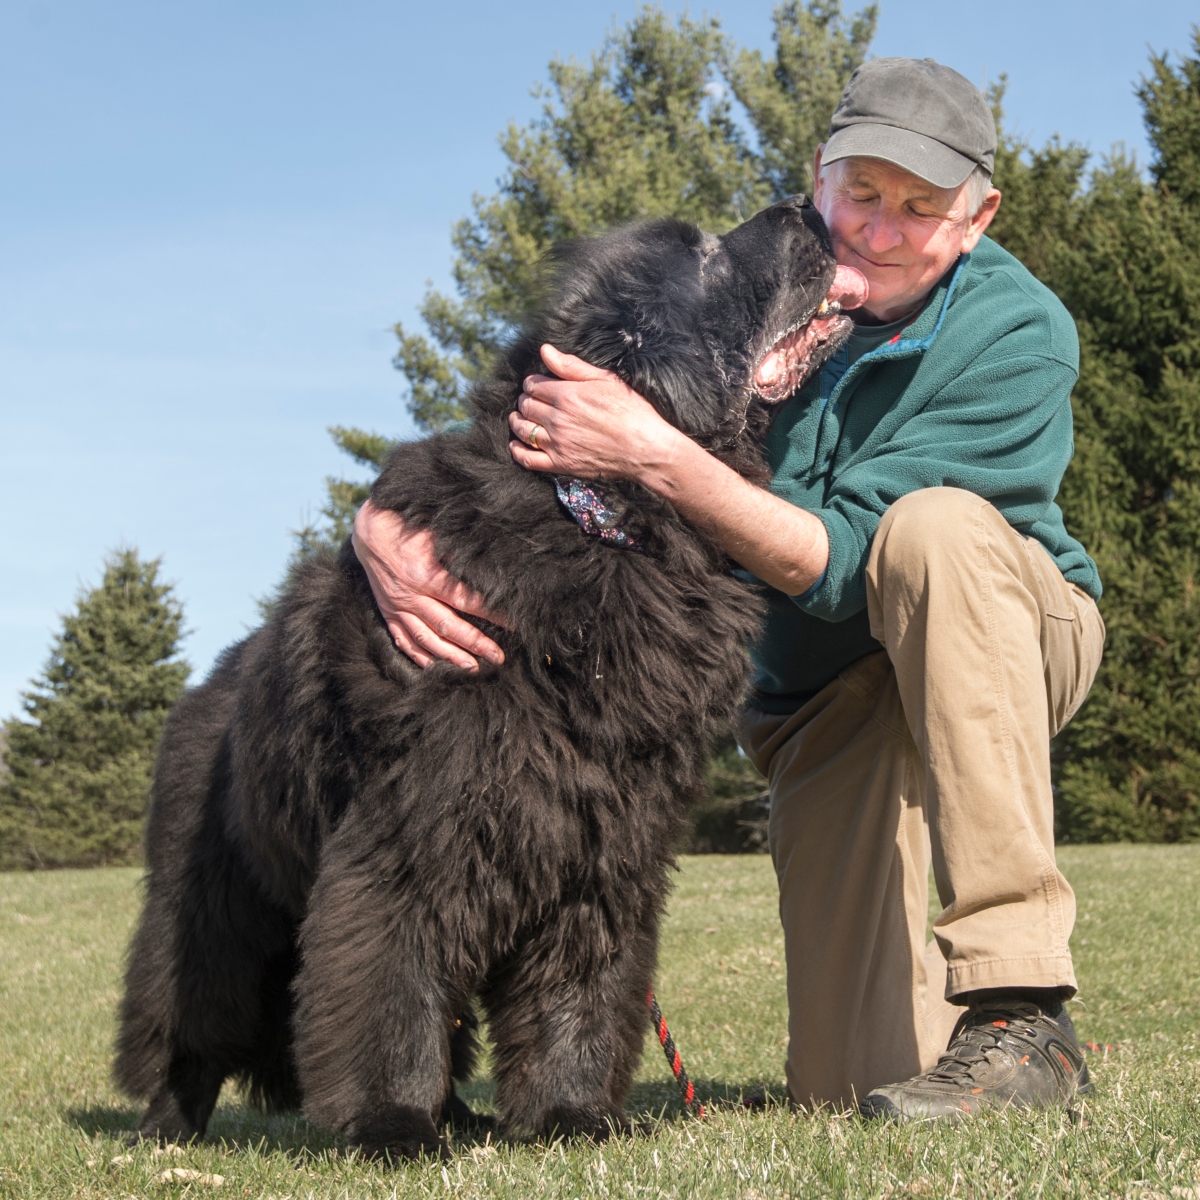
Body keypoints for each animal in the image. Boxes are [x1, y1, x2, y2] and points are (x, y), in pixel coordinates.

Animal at [112, 192, 864, 1156]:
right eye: (701, 254)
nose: (805, 206)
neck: (597, 521)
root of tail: (213, 680)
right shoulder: (412, 837)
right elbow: (389, 981)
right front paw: (390, 1124)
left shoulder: (606, 839)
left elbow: (581, 986)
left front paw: (570, 1114)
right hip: (212, 905)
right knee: (188, 1019)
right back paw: (170, 1123)